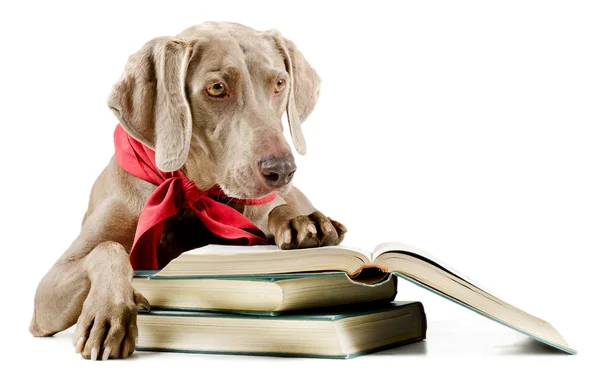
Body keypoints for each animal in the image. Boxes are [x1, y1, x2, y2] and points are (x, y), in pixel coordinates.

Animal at [29, 22, 346, 360]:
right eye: (217, 88)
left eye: (279, 83)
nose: (282, 170)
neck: (187, 193)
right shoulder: (46, 293)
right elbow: (107, 248)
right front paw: (109, 312)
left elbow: (277, 209)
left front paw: (300, 220)